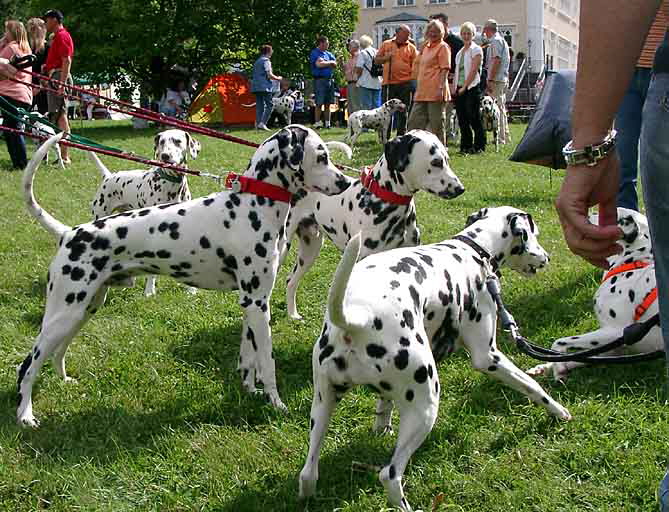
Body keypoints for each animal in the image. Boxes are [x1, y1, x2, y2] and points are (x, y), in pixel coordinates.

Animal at [89, 129, 199, 296]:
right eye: (162, 142)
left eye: (177, 141)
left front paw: (191, 289)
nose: (165, 156)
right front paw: (149, 291)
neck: (171, 186)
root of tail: (109, 176)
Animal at [281, 130, 465, 320]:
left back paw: (293, 314)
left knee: (290, 280)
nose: (460, 188)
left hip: (310, 250)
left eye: (447, 159)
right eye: (436, 161)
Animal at [299, 206, 571, 511]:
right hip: (425, 408)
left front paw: (382, 424)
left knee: (308, 473)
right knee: (390, 474)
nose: (547, 256)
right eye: (535, 234)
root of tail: (358, 320)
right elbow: (531, 386)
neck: (473, 250)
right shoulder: (489, 356)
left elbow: (384, 404)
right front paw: (558, 411)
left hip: (323, 406)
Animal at [527, 208, 660, 381]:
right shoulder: (613, 348)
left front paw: (558, 369)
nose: (587, 214)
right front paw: (546, 367)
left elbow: (559, 343)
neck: (632, 264)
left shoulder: (615, 332)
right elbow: (579, 357)